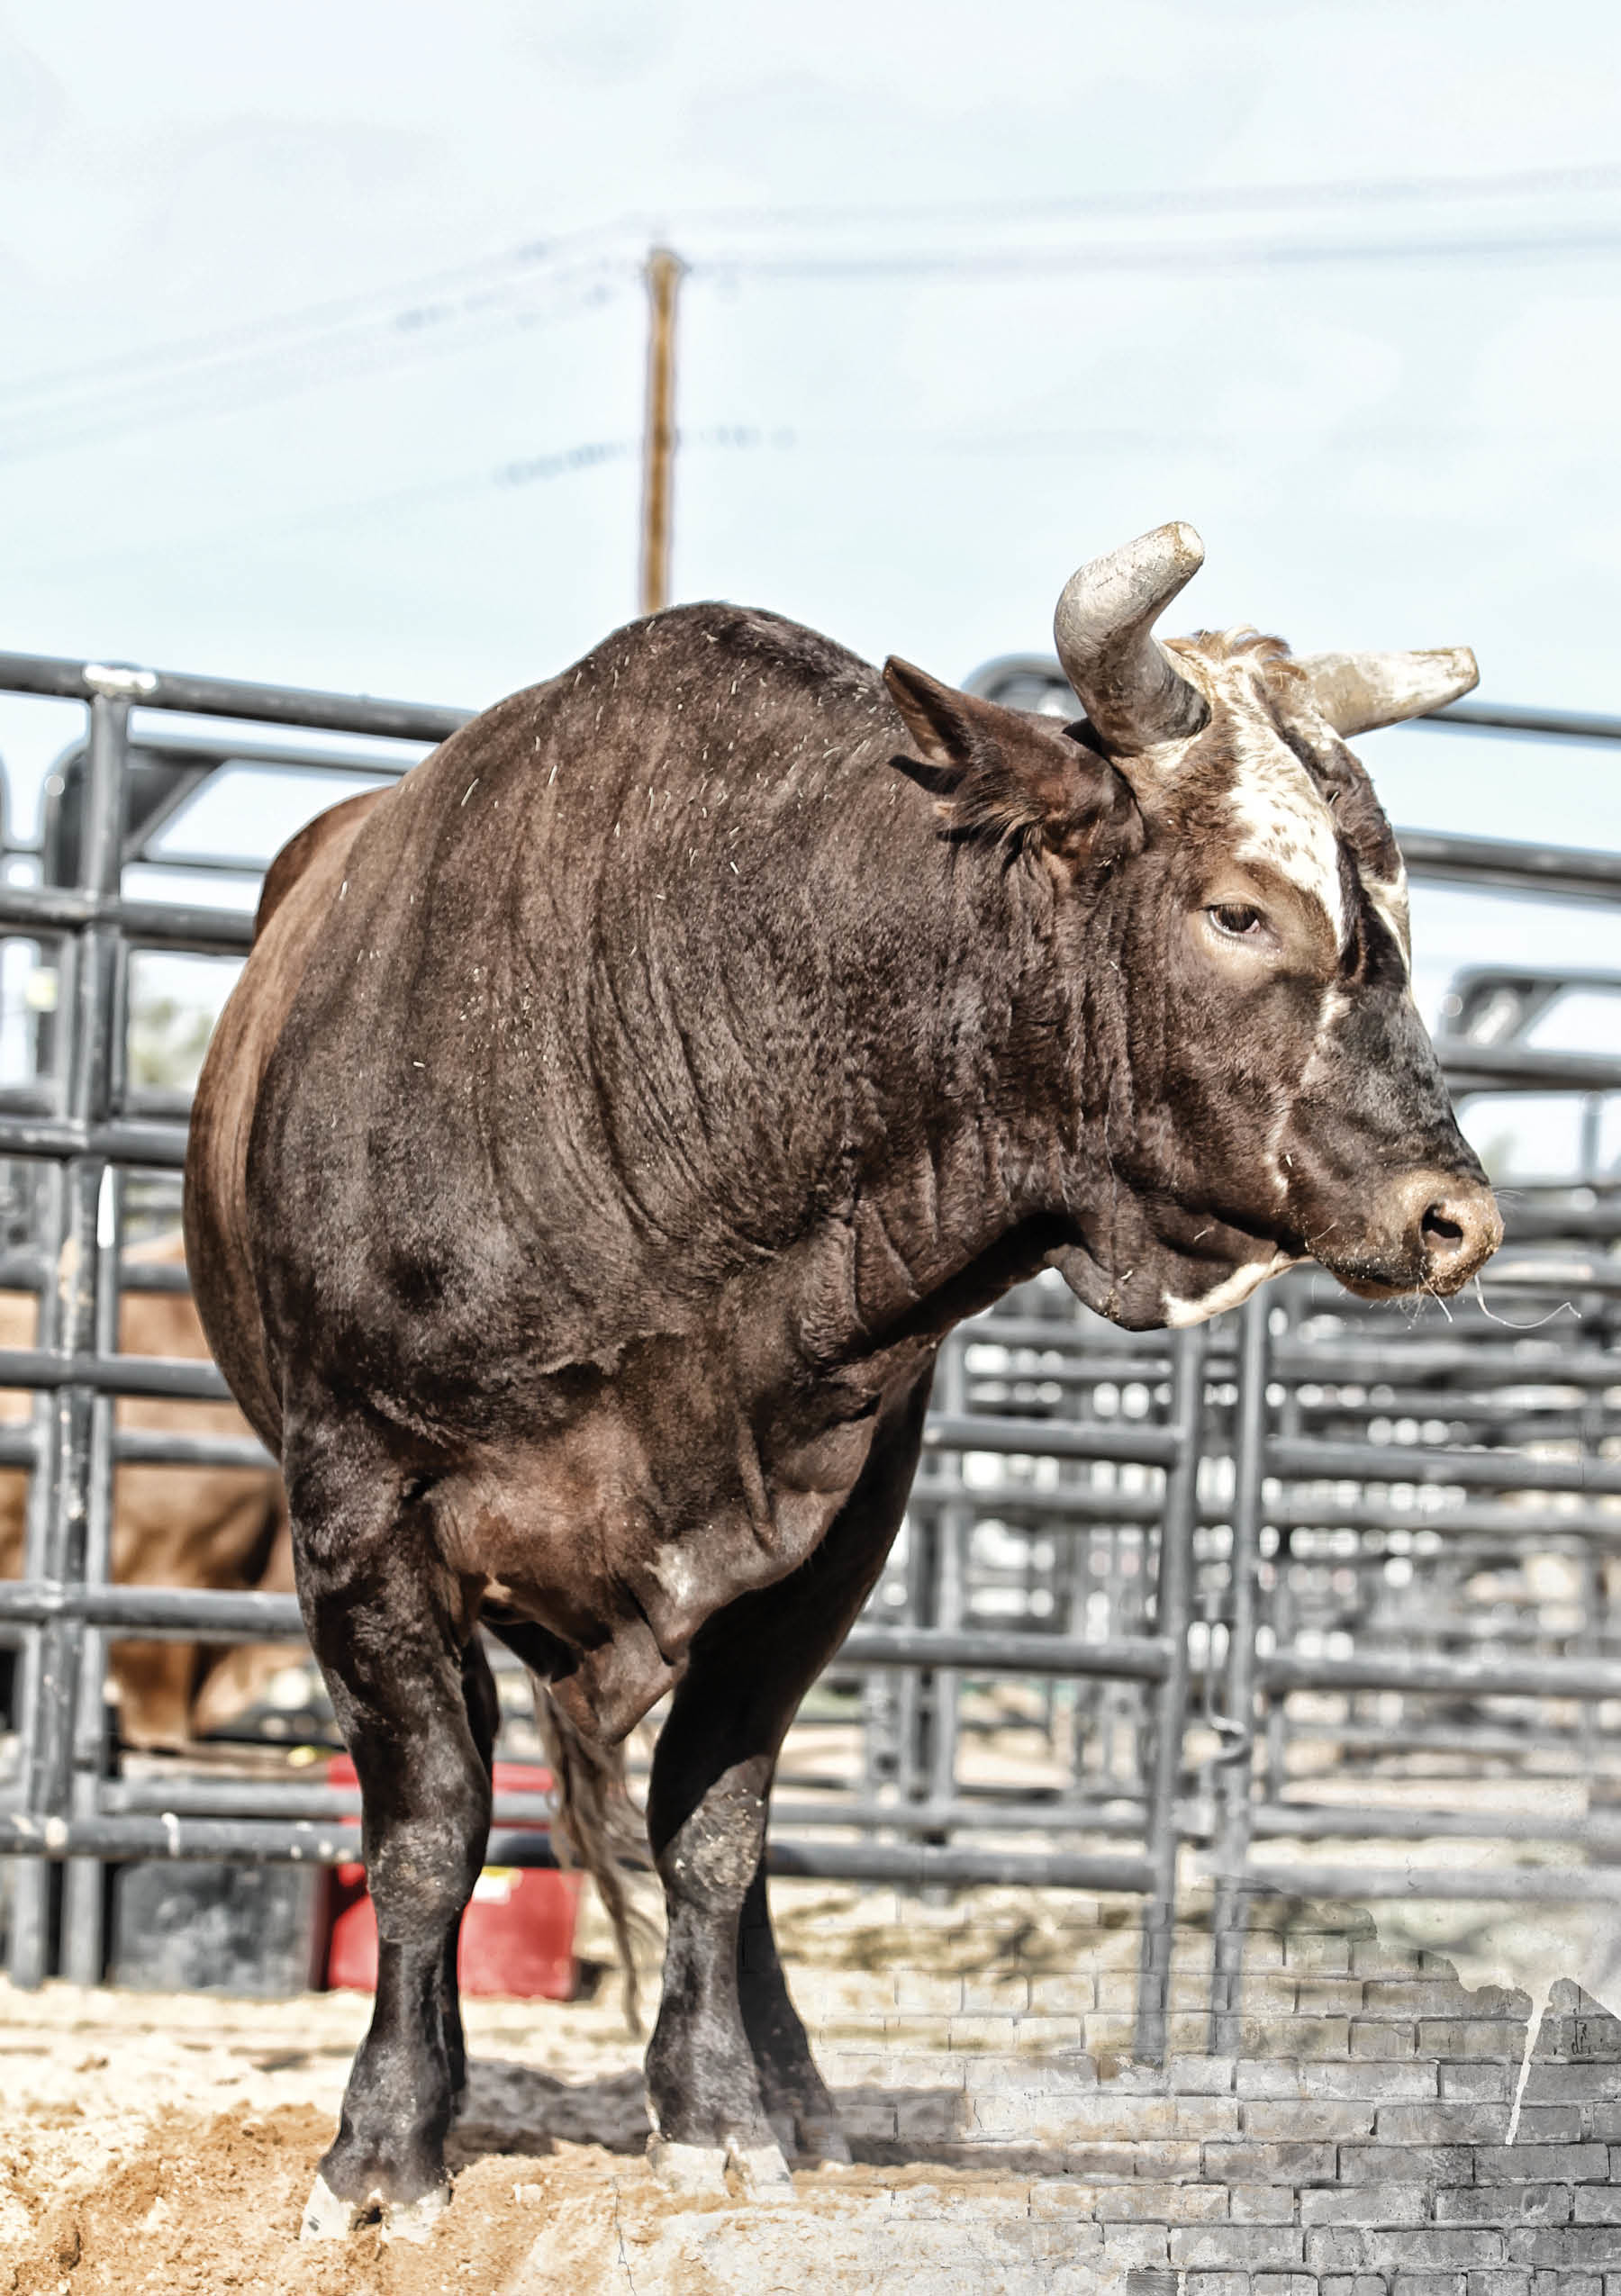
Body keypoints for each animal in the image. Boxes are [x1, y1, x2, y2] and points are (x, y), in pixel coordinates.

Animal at [183, 523, 1501, 2240]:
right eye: (1239, 913)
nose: (1454, 1215)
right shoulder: (359, 1511)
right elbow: (428, 1827)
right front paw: (384, 2144)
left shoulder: (829, 1526)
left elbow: (715, 1831)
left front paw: (723, 2112)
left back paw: (794, 2091)